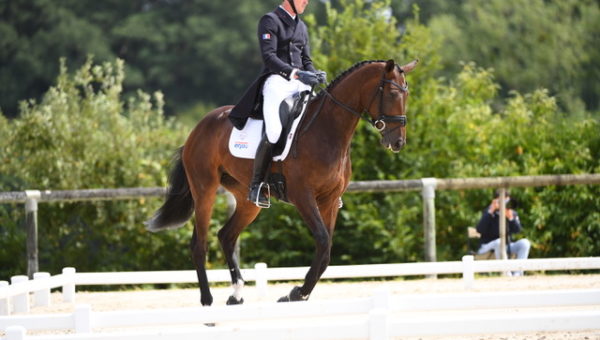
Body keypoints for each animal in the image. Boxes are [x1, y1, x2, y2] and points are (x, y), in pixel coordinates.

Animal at [145, 58, 418, 306]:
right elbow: (322, 239)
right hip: (205, 190)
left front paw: (299, 293)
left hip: (248, 200)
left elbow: (326, 250)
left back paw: (236, 294)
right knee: (199, 244)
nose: (398, 142)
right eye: (392, 93)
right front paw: (297, 292)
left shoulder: (329, 200)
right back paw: (207, 300)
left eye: (406, 94)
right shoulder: (303, 197)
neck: (328, 131)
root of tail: (198, 128)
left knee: (226, 235)